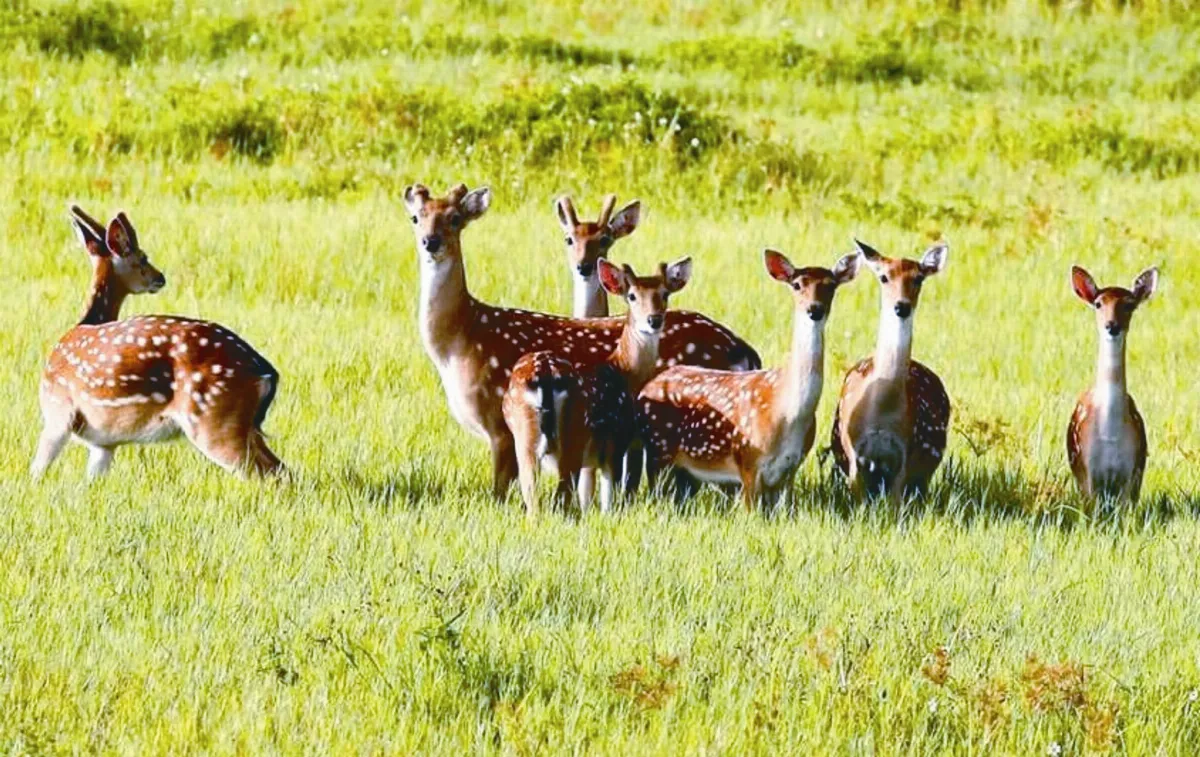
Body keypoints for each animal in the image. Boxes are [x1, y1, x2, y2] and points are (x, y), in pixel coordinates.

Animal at [31, 206, 283, 480]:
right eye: (143, 258)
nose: (160, 277)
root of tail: (266, 372)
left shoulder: (58, 410)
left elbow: (36, 472)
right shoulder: (103, 442)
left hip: (214, 418)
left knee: (272, 474)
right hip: (242, 424)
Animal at [504, 258, 691, 517]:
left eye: (664, 294)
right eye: (632, 296)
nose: (654, 320)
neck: (624, 371)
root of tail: (544, 374)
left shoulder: (591, 459)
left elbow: (587, 498)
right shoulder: (615, 441)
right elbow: (606, 501)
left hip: (525, 436)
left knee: (534, 499)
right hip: (574, 433)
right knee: (560, 496)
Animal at [639, 249, 860, 511]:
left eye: (831, 285)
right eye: (796, 284)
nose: (814, 309)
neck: (788, 412)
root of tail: (649, 385)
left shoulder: (790, 469)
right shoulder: (747, 461)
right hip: (658, 451)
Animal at [1065, 265, 1157, 502]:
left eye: (1129, 304)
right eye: (1098, 304)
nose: (1112, 325)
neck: (1110, 435)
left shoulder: (1131, 472)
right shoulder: (1087, 472)